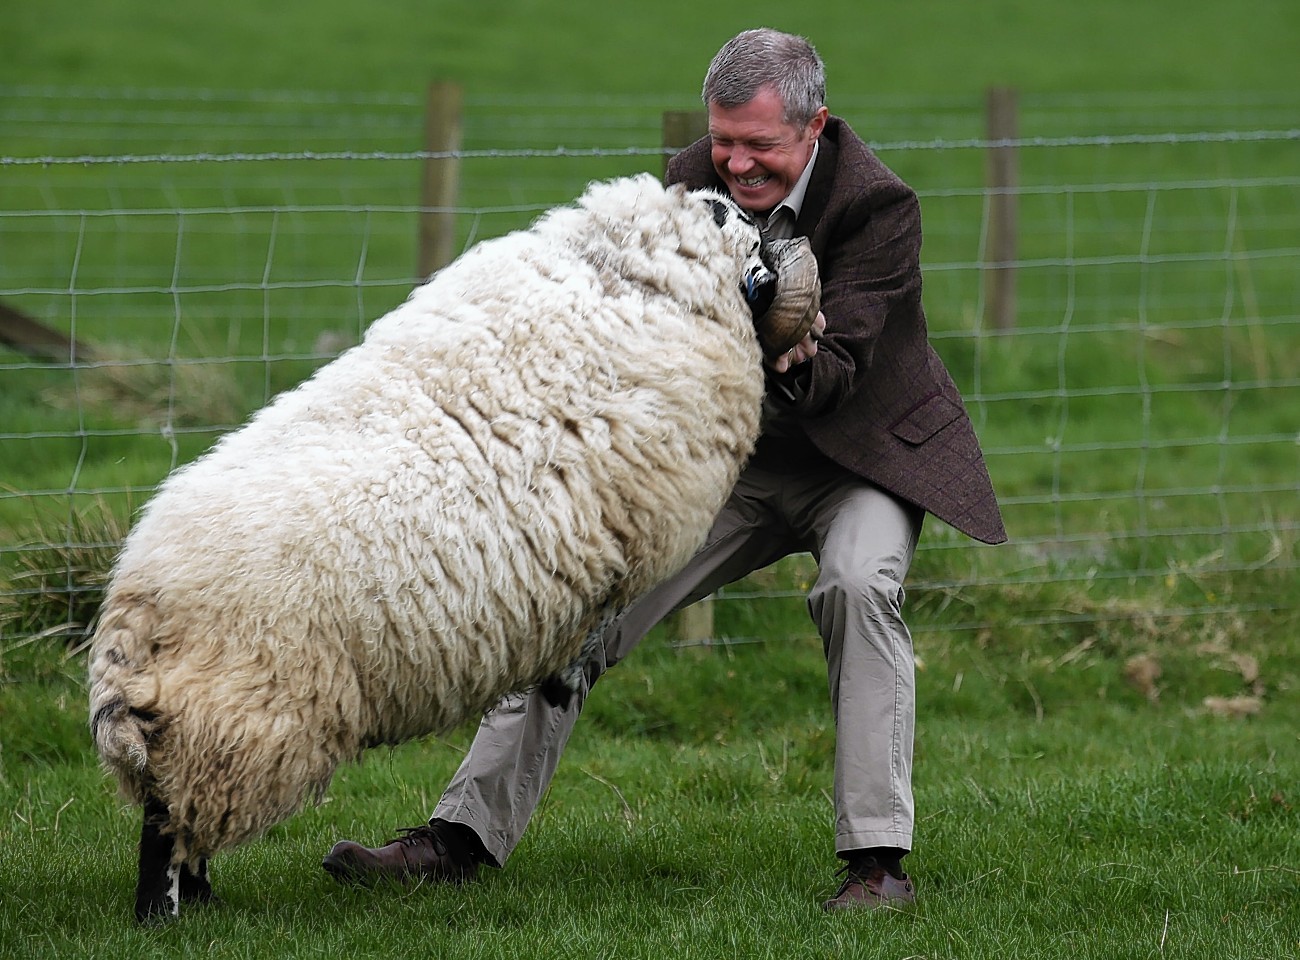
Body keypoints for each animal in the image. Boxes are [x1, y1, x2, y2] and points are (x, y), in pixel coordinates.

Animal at [89, 174, 821, 920]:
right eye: (723, 212)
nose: (762, 220)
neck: (634, 271)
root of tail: (134, 608)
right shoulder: (641, 520)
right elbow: (605, 611)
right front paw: (567, 675)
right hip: (239, 716)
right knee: (168, 820)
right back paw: (167, 914)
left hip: (206, 719)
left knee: (178, 813)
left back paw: (201, 899)